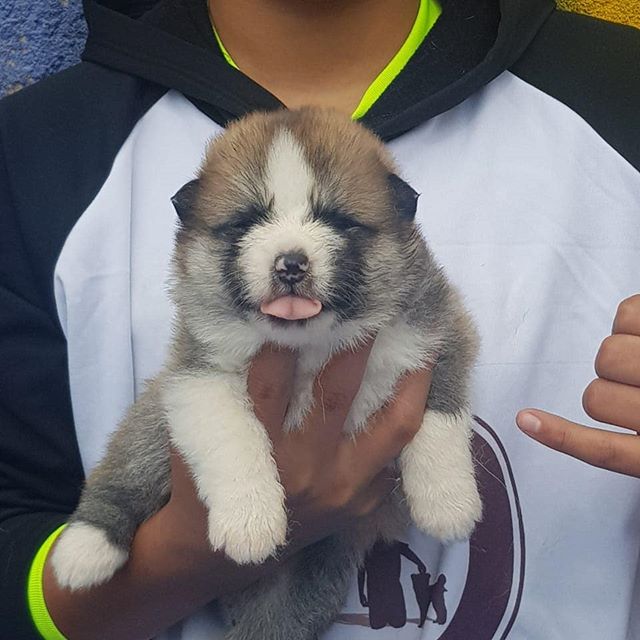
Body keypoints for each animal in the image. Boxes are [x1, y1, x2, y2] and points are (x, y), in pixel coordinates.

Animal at [51, 107, 480, 636]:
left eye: (336, 220)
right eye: (247, 221)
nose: (290, 264)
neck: (308, 346)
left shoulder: (440, 330)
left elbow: (440, 414)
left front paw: (448, 500)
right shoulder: (199, 375)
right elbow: (235, 437)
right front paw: (249, 520)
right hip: (149, 430)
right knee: (121, 479)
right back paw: (83, 550)